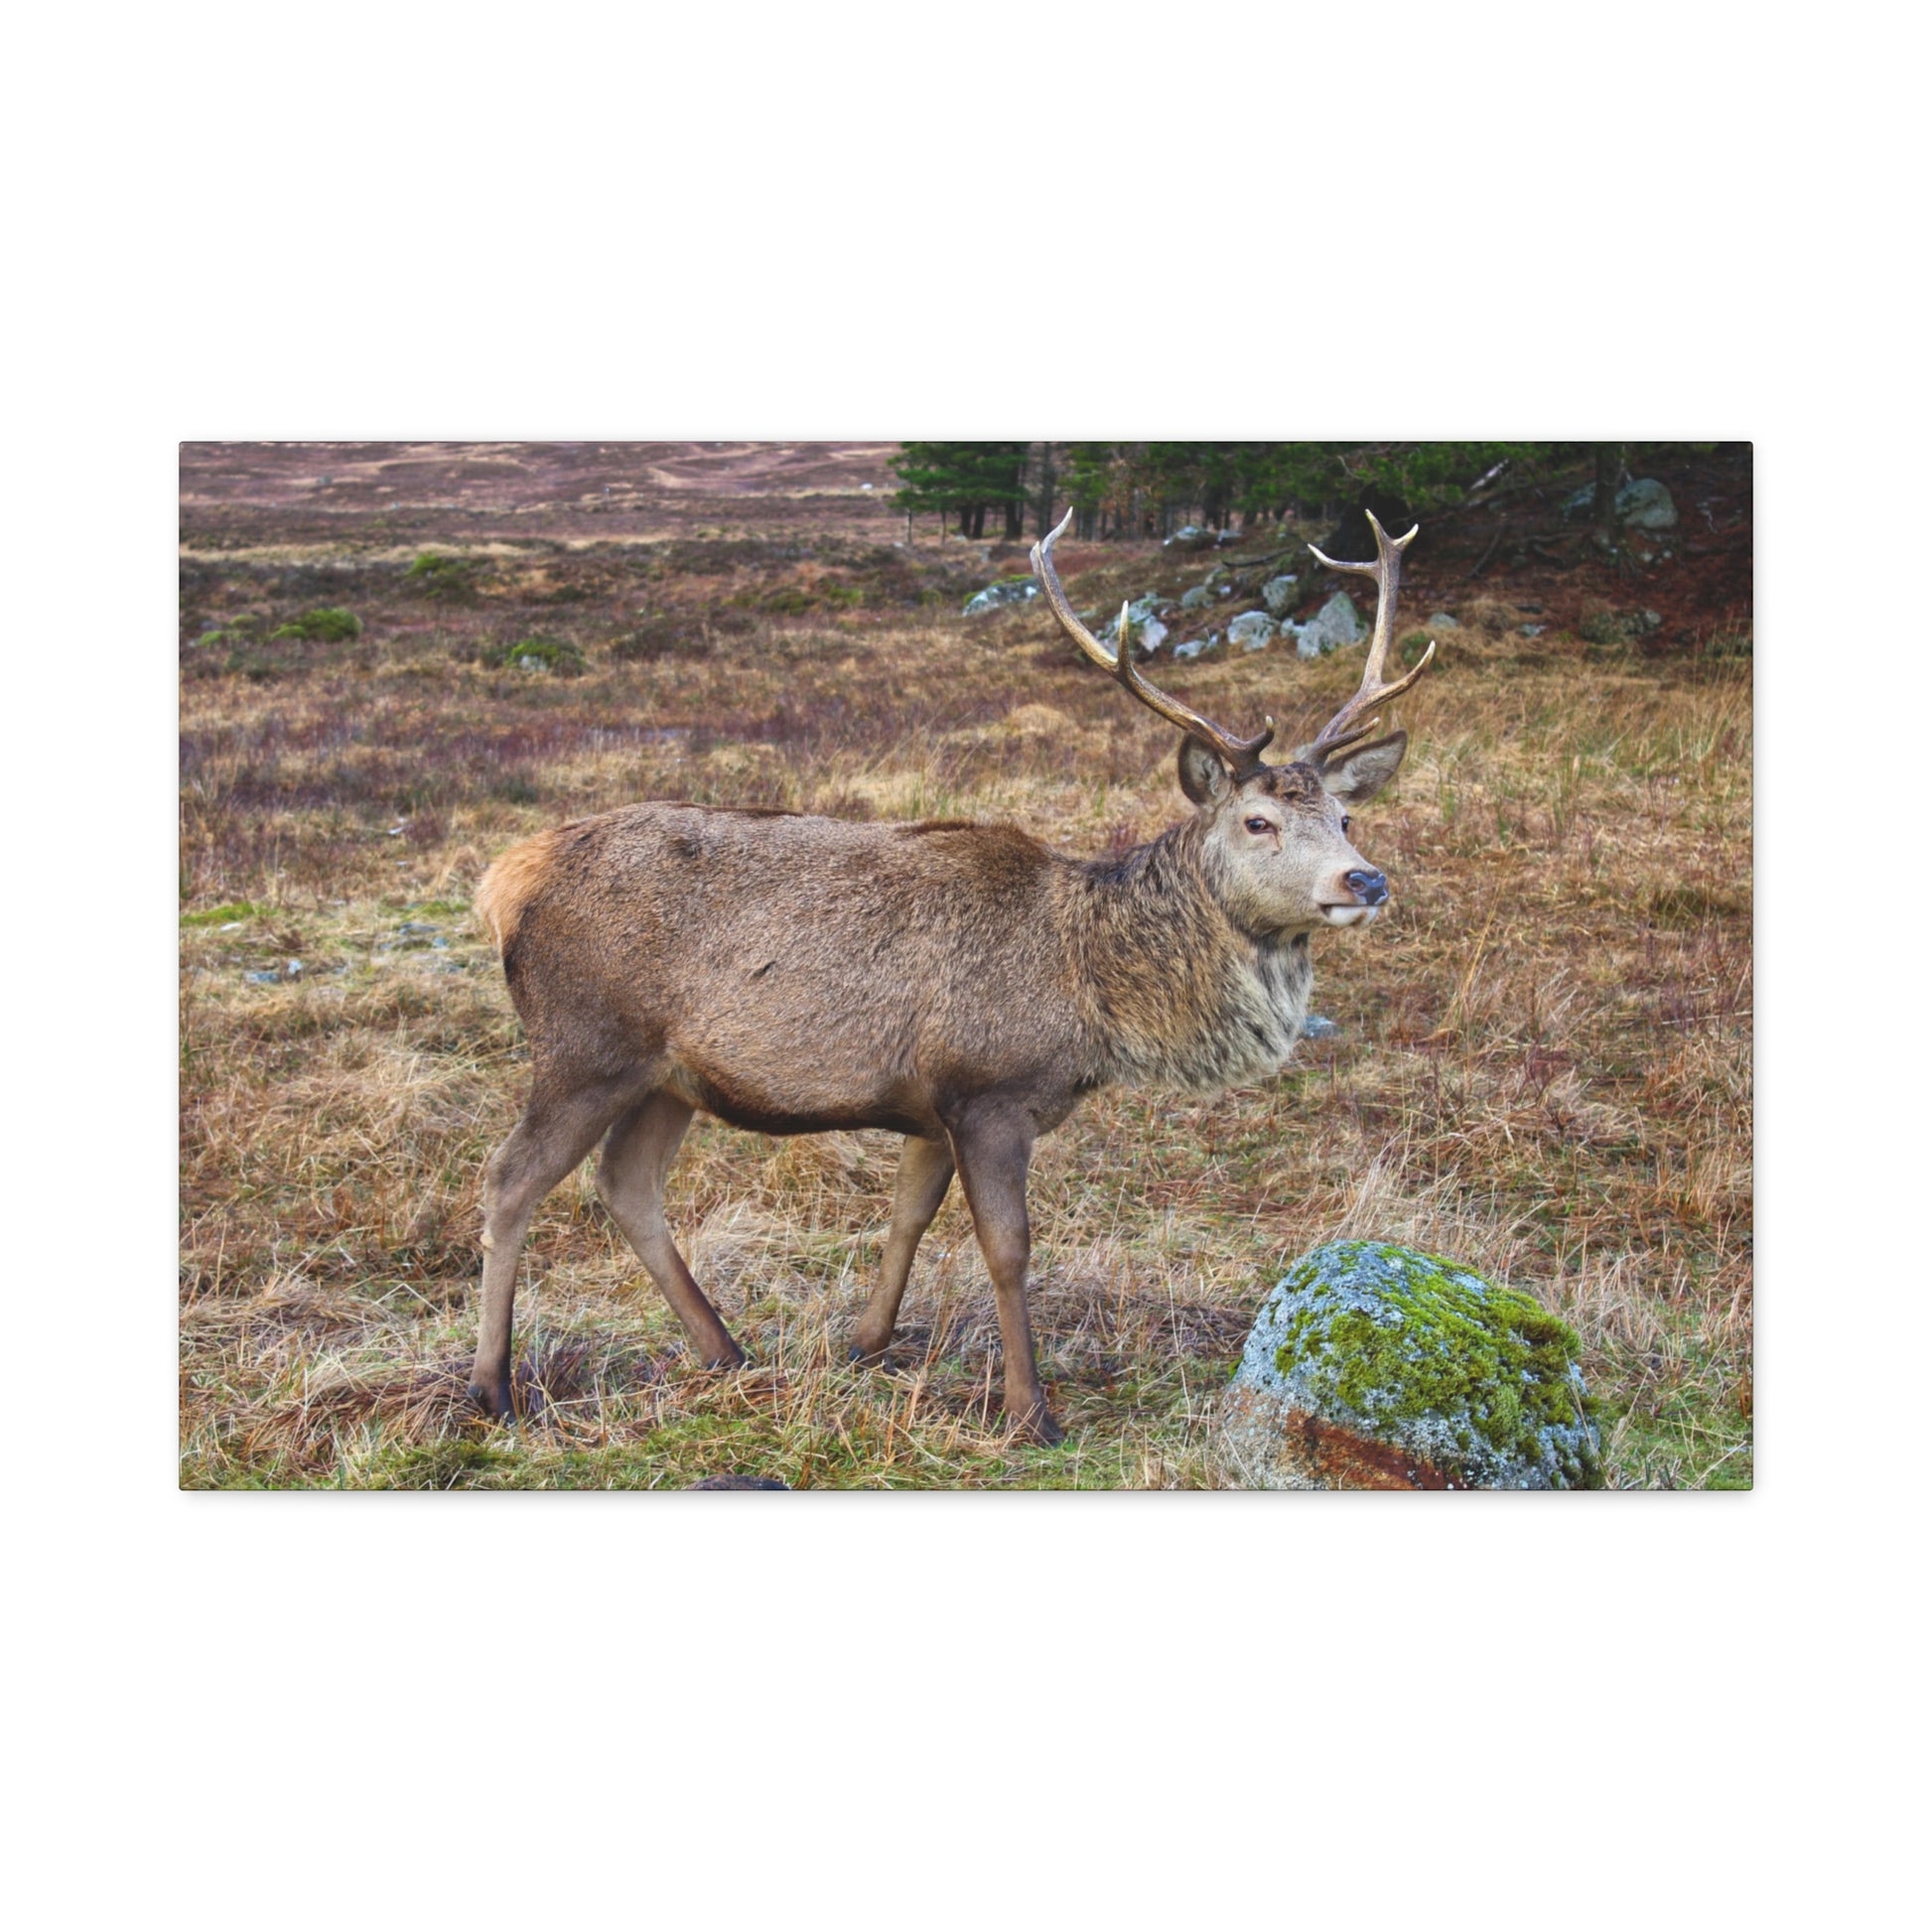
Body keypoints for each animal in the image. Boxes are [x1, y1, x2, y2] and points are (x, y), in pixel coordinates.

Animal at [468, 508, 1434, 1443]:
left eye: (1346, 815)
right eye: (1258, 821)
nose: (1365, 880)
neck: (1093, 993)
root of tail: (506, 877)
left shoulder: (931, 1107)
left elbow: (908, 1217)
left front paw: (864, 1345)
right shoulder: (989, 1091)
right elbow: (1008, 1249)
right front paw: (1030, 1410)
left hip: (670, 1077)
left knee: (626, 1184)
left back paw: (726, 1350)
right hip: (585, 1044)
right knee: (510, 1179)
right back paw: (493, 1387)